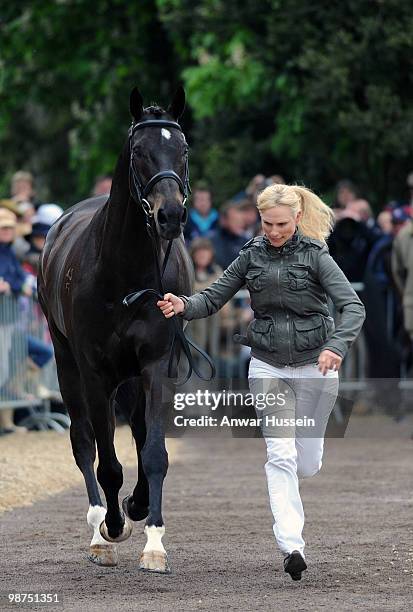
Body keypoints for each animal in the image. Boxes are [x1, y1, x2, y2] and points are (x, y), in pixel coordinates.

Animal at [36, 86, 193, 572]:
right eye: (138, 151)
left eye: (183, 149)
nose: (170, 216)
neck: (125, 272)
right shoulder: (95, 372)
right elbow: (106, 460)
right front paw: (112, 526)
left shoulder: (157, 363)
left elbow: (154, 451)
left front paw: (153, 538)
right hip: (66, 362)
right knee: (83, 441)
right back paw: (98, 528)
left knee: (139, 433)